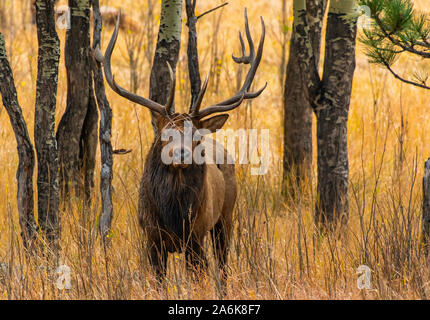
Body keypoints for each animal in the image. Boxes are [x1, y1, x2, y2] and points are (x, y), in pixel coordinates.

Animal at [96, 8, 266, 288]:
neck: (173, 216)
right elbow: (158, 281)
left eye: (196, 136)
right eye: (165, 134)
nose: (181, 154)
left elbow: (199, 277)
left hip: (225, 217)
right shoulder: (151, 238)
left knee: (223, 265)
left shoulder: (196, 236)